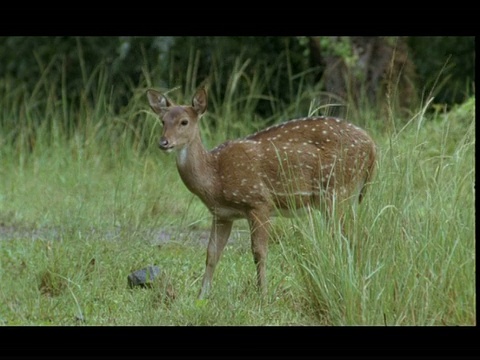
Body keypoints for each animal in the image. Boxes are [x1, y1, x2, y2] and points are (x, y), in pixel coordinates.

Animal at [146, 86, 376, 298]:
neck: (215, 179)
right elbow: (212, 253)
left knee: (353, 236)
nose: (163, 142)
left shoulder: (259, 201)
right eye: (162, 121)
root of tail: (373, 147)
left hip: (338, 190)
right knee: (358, 234)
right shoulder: (222, 215)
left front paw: (263, 294)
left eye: (184, 122)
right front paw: (201, 296)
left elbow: (259, 252)